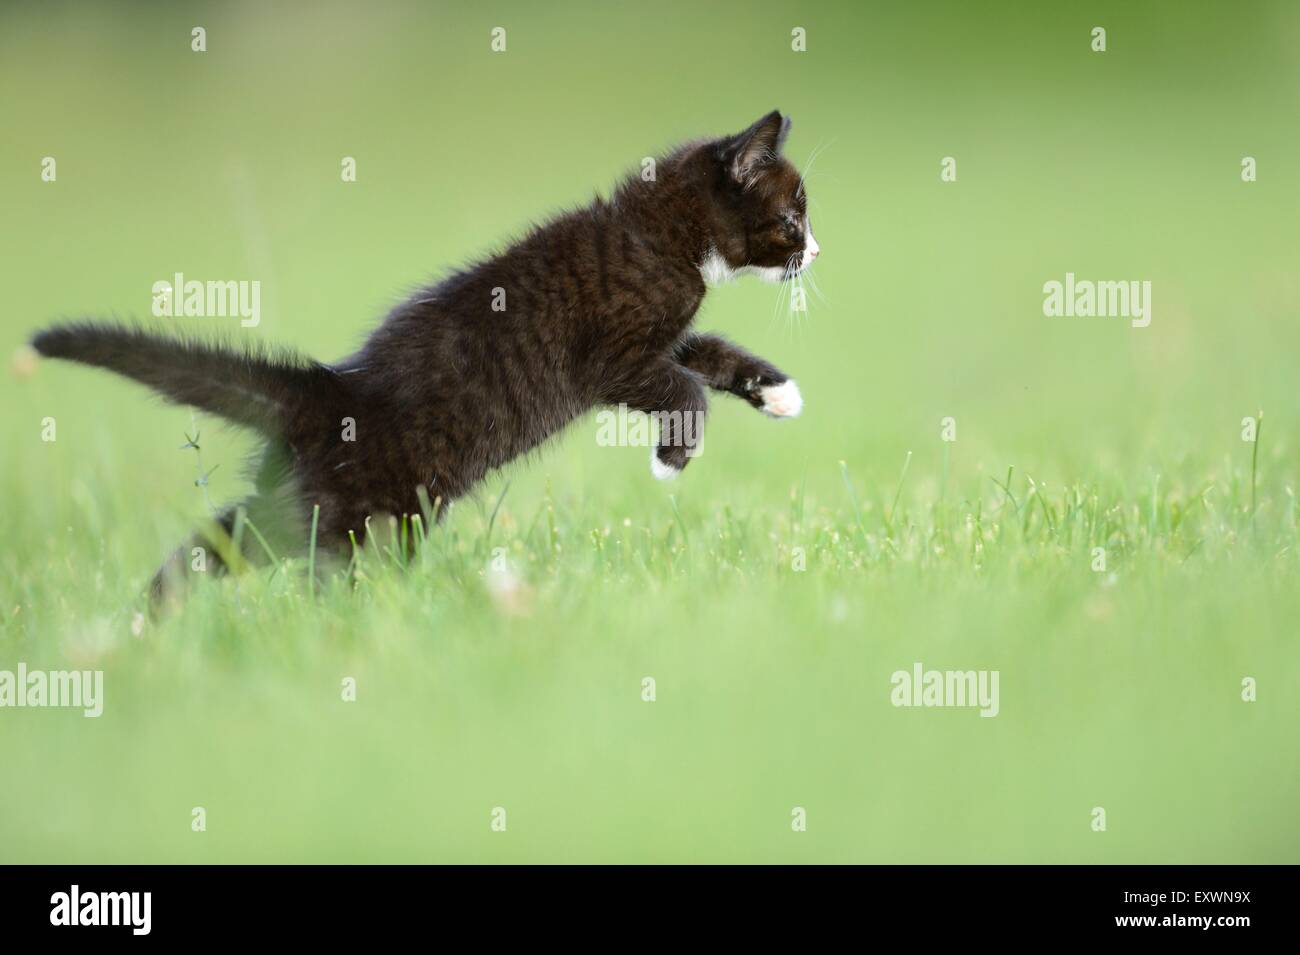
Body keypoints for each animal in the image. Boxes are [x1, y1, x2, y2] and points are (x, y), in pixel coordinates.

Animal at [30, 110, 816, 605]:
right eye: (792, 218)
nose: (814, 251)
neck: (657, 234)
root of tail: (330, 393)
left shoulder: (666, 339)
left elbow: (713, 354)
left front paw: (778, 392)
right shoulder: (615, 357)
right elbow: (686, 389)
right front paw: (672, 459)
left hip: (310, 499)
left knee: (220, 540)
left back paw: (146, 620)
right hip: (367, 510)